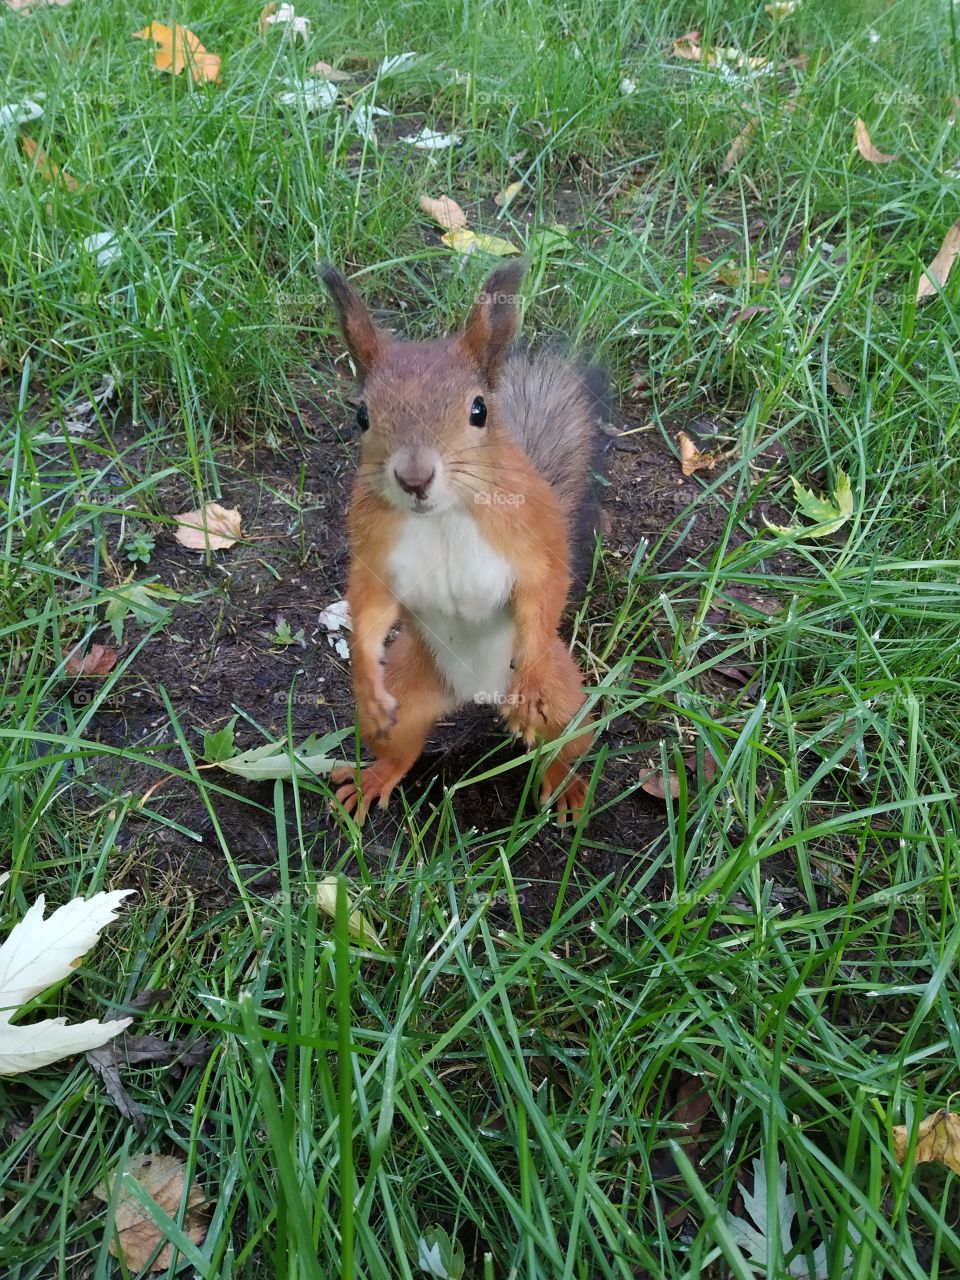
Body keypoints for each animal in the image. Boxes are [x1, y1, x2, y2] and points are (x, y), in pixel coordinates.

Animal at [321, 259, 607, 826]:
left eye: (479, 411)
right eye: (361, 415)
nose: (414, 478)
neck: (442, 516)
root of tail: (478, 695)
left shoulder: (533, 535)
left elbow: (547, 585)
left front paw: (530, 678)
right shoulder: (376, 548)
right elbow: (368, 604)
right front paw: (365, 679)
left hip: (567, 701)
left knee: (562, 744)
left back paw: (564, 783)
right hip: (410, 686)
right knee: (401, 748)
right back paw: (372, 778)